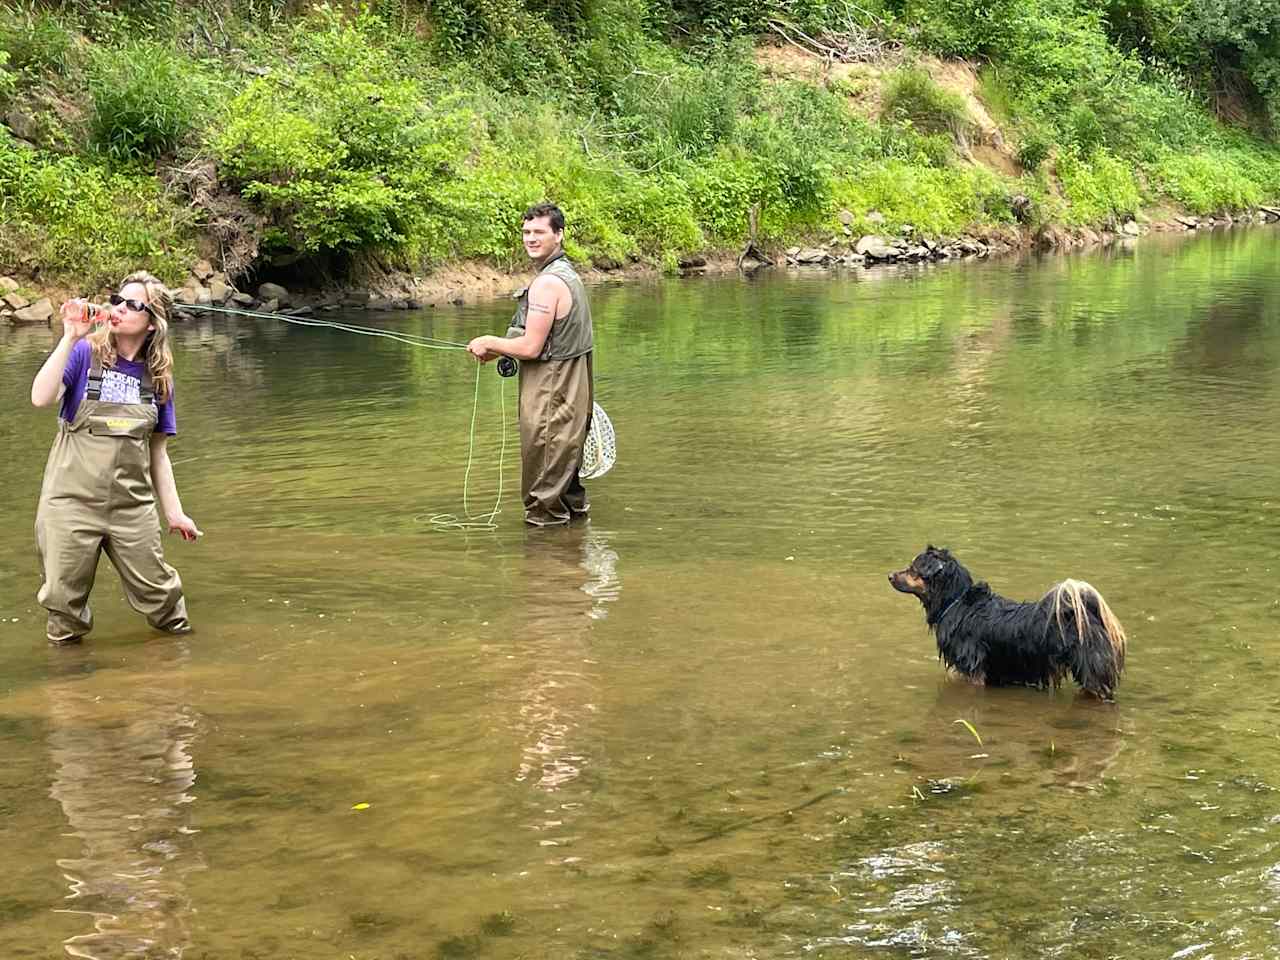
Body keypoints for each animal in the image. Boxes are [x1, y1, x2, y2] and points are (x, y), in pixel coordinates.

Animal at [890, 547, 1131, 701]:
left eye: (912, 569)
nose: (890, 575)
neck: (956, 601)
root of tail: (1089, 613)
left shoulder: (972, 670)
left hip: (1091, 671)